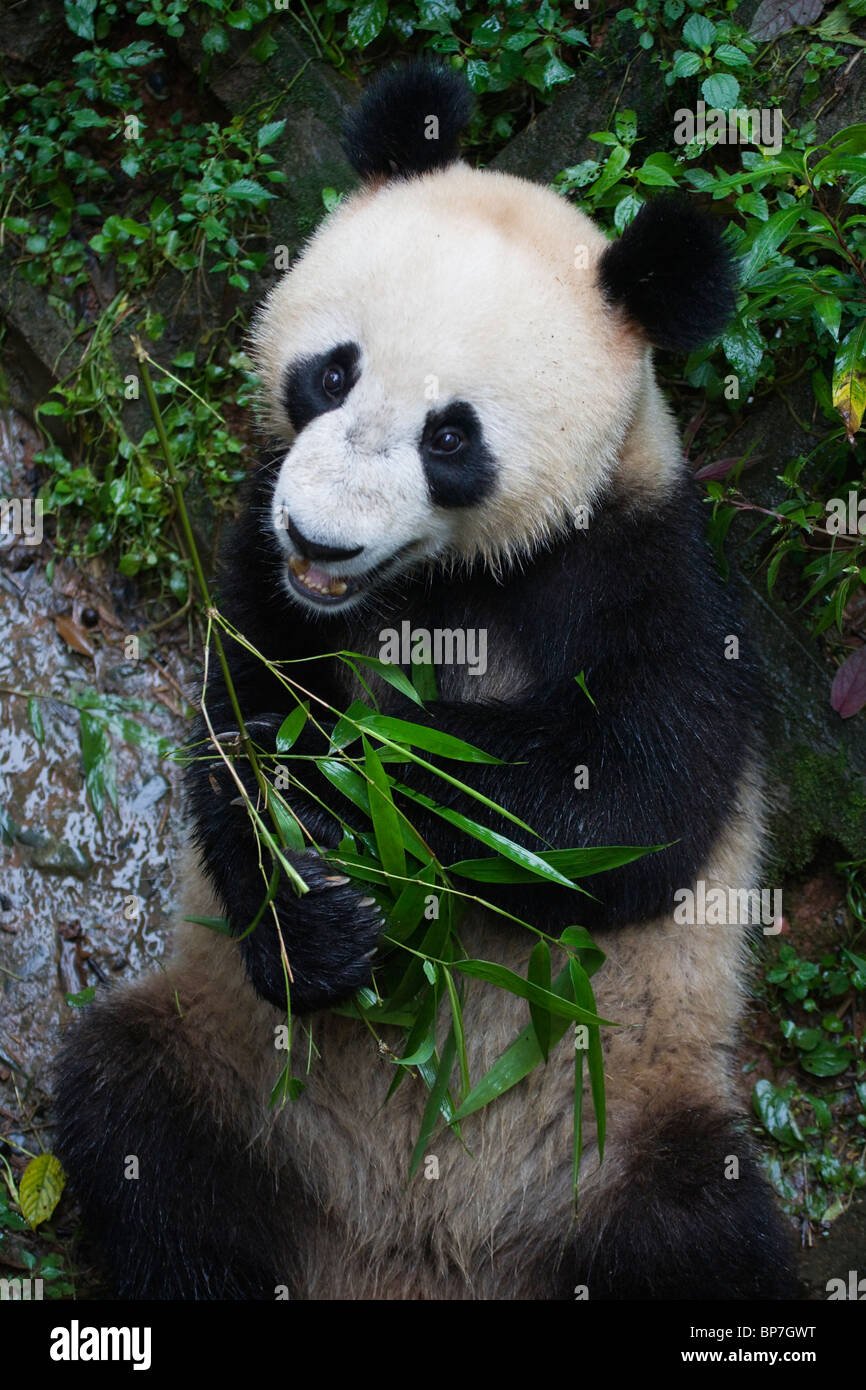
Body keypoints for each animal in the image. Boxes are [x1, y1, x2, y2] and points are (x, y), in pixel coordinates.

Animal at [54, 62, 800, 1301]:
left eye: (451, 437)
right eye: (333, 370)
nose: (320, 538)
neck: (449, 581)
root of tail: (400, 1259)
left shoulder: (652, 574)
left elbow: (632, 802)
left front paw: (370, 793)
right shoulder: (261, 563)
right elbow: (240, 735)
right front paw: (314, 909)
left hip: (627, 1135)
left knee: (698, 1235)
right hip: (224, 1068)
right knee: (138, 1135)